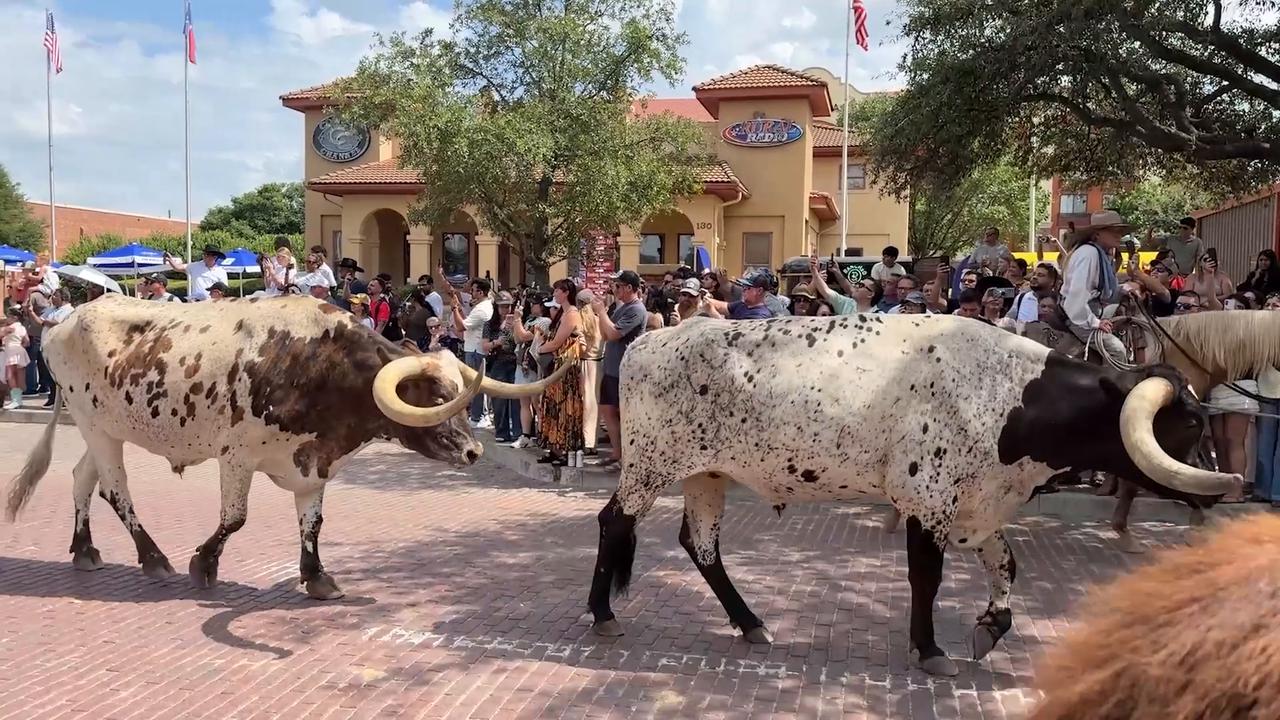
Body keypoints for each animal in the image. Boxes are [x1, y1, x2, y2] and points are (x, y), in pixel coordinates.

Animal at [5, 293, 568, 599]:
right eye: (432, 394)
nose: (474, 452)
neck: (319, 366)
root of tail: (63, 322)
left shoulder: (312, 464)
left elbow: (313, 525)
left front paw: (317, 578)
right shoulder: (236, 457)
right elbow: (235, 519)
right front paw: (203, 565)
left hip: (105, 427)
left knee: (82, 480)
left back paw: (85, 550)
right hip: (97, 426)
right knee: (114, 490)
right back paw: (154, 558)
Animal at [586, 314, 1240, 676]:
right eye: (1188, 425)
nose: (1221, 491)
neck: (1013, 396)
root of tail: (652, 340)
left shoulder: (979, 504)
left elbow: (1009, 564)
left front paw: (992, 624)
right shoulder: (928, 501)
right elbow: (927, 578)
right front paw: (929, 649)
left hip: (708, 475)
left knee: (700, 546)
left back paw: (751, 624)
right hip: (650, 465)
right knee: (615, 522)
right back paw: (603, 614)